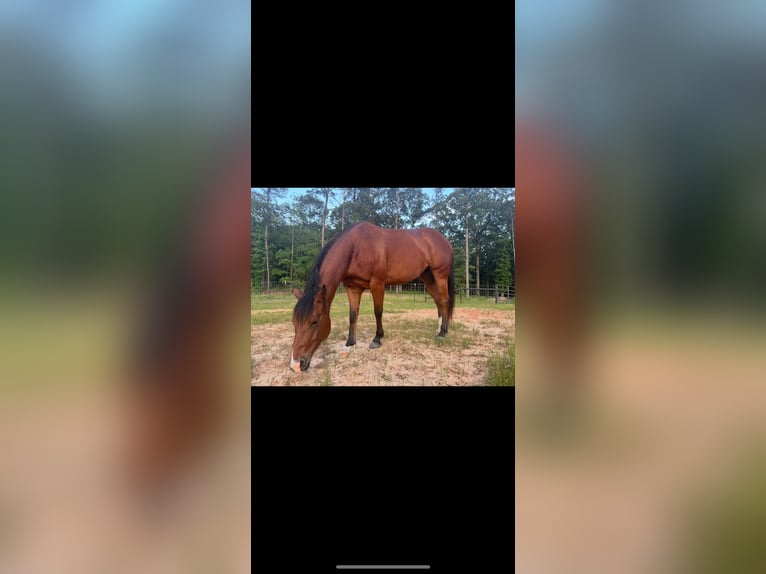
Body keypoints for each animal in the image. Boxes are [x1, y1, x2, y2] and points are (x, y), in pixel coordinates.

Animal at [290, 221, 456, 372]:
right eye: (294, 322)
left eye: (314, 322)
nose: (295, 365)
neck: (356, 248)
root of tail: (445, 240)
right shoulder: (353, 288)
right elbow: (353, 314)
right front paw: (350, 342)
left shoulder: (377, 283)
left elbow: (378, 312)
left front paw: (377, 339)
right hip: (427, 276)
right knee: (438, 301)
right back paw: (439, 329)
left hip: (440, 275)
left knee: (444, 300)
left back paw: (442, 333)